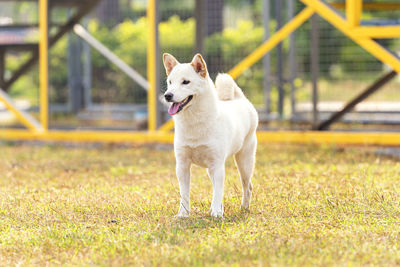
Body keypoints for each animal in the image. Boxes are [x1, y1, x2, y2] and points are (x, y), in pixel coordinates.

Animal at [163, 52, 260, 218]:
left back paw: (244, 208)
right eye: (170, 82)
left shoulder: (217, 164)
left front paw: (216, 213)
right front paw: (183, 214)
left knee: (247, 186)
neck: (194, 124)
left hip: (244, 162)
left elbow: (218, 192)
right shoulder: (182, 165)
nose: (167, 95)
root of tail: (240, 100)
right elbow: (184, 194)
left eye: (185, 82)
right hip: (211, 169)